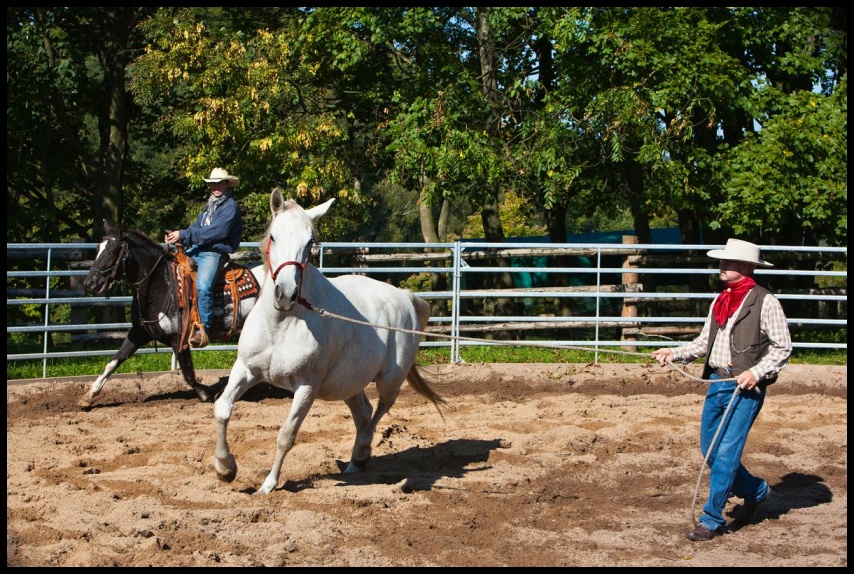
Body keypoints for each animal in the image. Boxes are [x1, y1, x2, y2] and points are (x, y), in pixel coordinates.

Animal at [214, 189, 448, 496]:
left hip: (390, 379)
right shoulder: (245, 370)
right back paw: (354, 465)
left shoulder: (307, 387)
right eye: (274, 236)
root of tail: (405, 297)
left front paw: (267, 485)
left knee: (380, 410)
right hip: (348, 383)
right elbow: (222, 409)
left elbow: (286, 435)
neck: (282, 324)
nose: (285, 294)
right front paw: (225, 469)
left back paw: (361, 454)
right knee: (364, 414)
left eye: (310, 242)